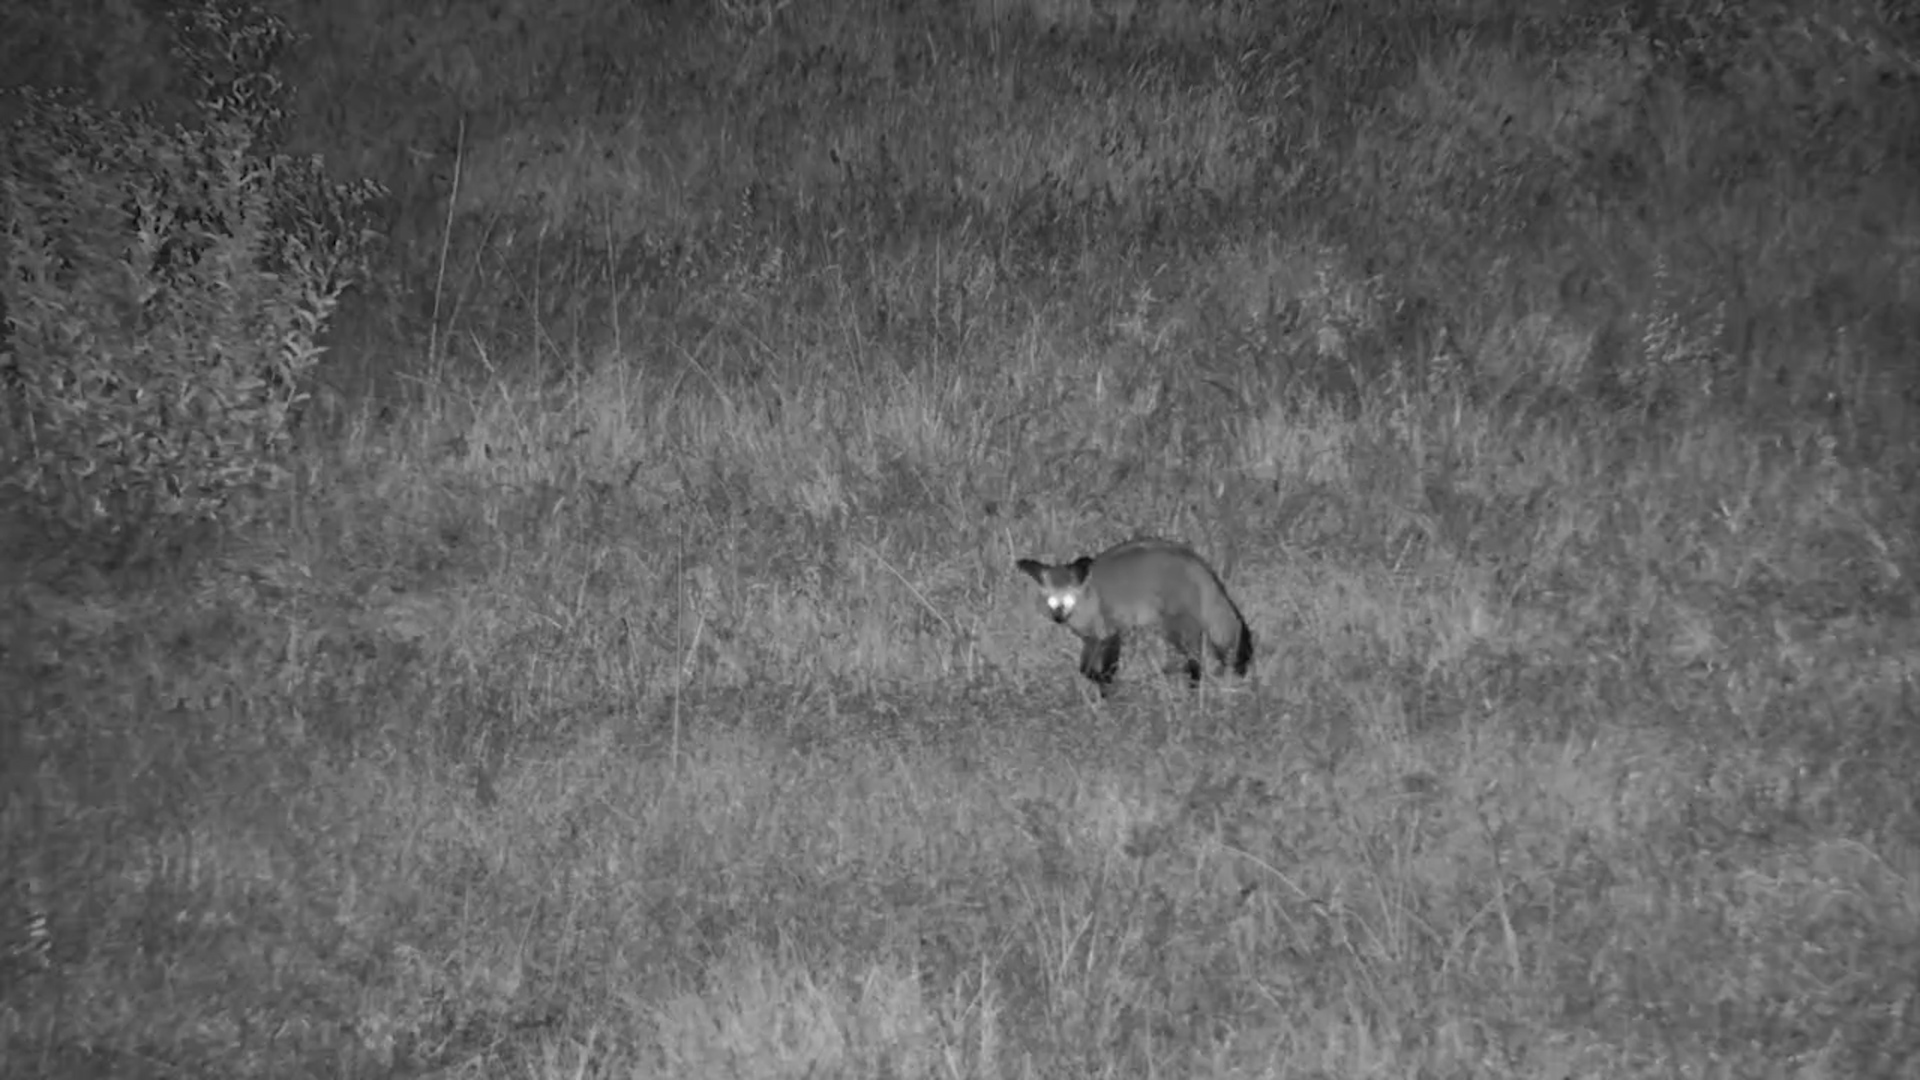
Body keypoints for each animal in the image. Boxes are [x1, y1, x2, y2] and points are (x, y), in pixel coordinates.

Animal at [1015, 538, 1253, 696]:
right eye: (1051, 601)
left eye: (1068, 599)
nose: (1058, 617)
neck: (1089, 598)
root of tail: (1198, 563)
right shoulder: (1092, 639)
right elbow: (1085, 669)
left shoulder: (1110, 633)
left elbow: (1105, 670)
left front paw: (1107, 692)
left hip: (1177, 628)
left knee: (1196, 661)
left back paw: (1193, 688)